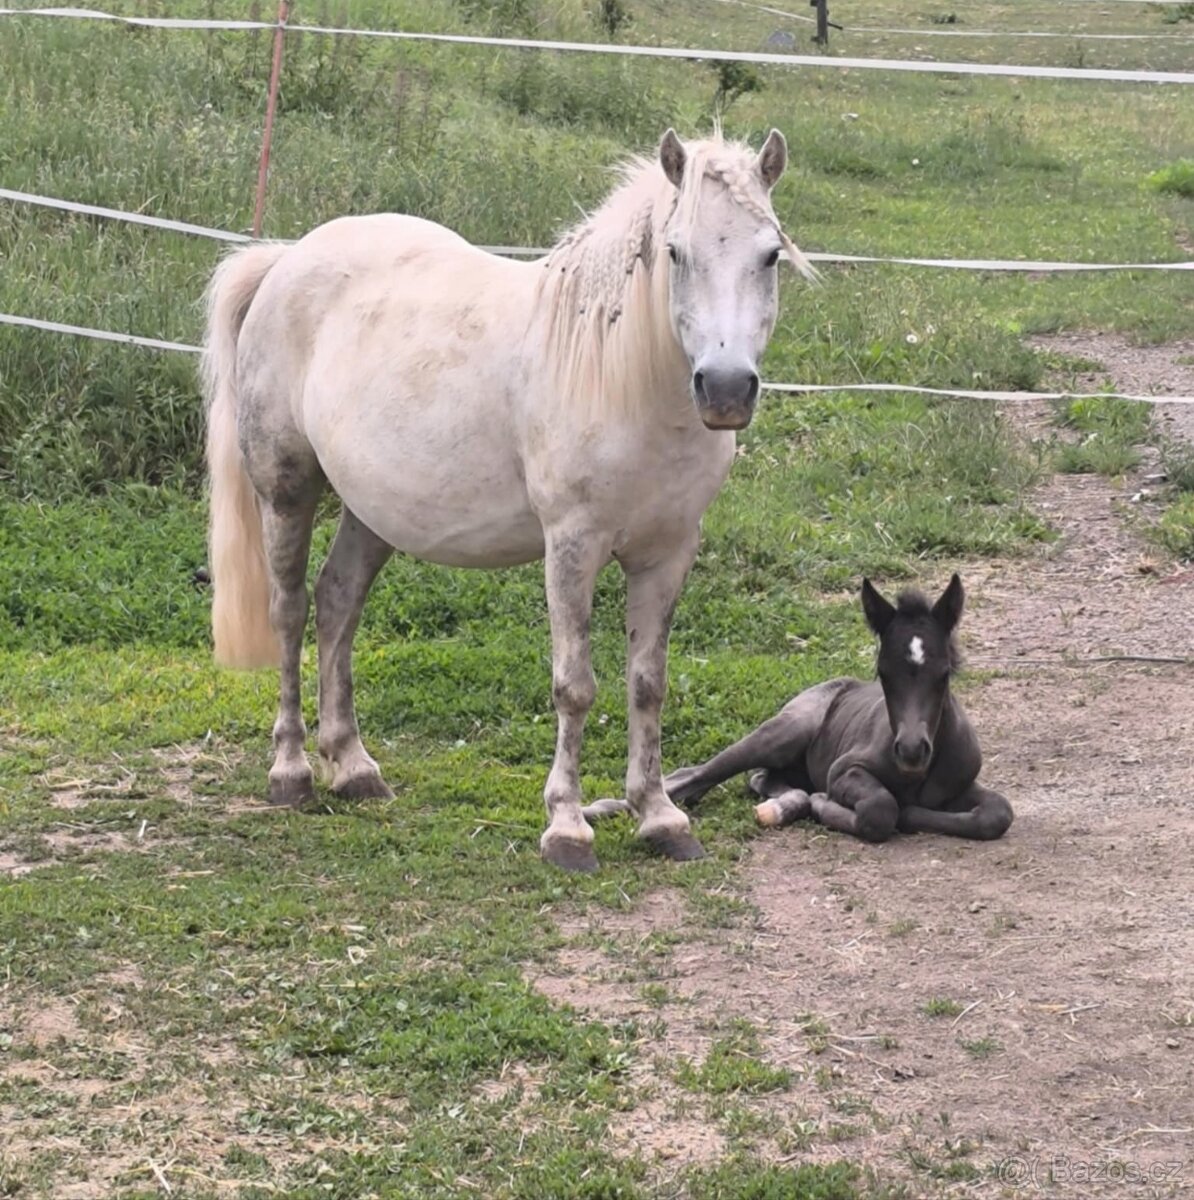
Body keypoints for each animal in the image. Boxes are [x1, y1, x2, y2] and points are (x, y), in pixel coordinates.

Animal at [201, 128, 817, 873]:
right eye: (676, 252)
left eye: (770, 254)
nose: (725, 389)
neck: (622, 375)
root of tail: (286, 259)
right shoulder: (572, 546)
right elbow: (575, 686)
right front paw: (567, 829)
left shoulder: (668, 553)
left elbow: (648, 683)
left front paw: (660, 818)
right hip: (286, 488)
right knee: (289, 613)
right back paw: (291, 771)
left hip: (373, 513)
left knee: (337, 602)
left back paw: (352, 767)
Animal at [584, 575, 1014, 843]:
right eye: (883, 673)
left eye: (943, 674)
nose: (910, 750)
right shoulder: (844, 770)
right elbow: (880, 809)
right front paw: (829, 805)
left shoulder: (962, 785)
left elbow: (998, 814)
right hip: (783, 731)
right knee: (693, 777)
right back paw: (600, 812)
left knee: (757, 779)